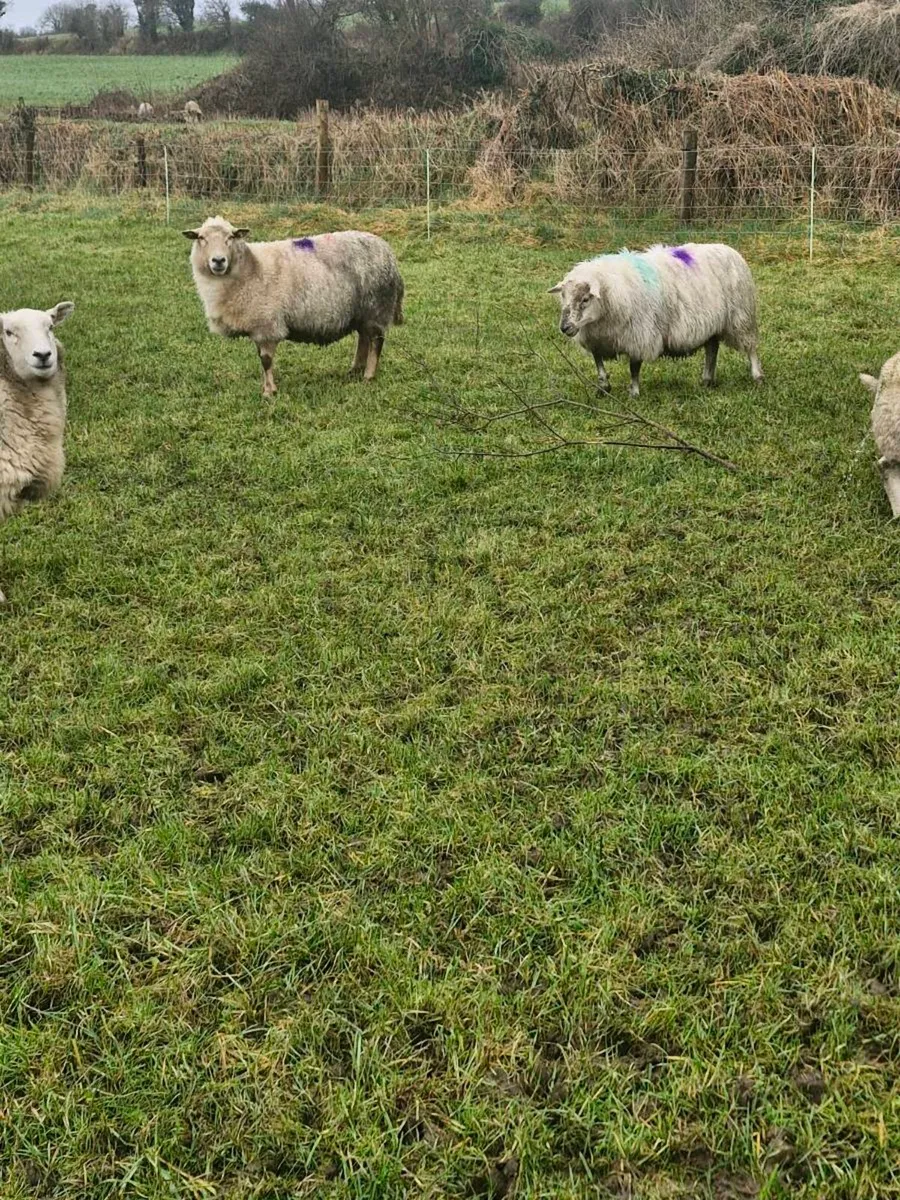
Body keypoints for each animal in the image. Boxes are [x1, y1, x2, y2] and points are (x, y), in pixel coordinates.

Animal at [183, 215, 405, 397]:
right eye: (201, 238)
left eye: (231, 237)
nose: (218, 261)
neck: (250, 268)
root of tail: (388, 253)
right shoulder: (258, 327)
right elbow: (261, 359)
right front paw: (266, 387)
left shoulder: (268, 325)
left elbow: (266, 360)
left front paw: (269, 392)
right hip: (362, 311)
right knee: (363, 338)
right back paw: (355, 370)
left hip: (376, 307)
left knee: (376, 341)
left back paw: (368, 376)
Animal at [549, 243, 763, 399]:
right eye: (563, 297)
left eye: (585, 299)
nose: (565, 328)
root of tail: (728, 248)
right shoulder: (597, 340)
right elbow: (599, 365)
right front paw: (603, 388)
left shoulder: (639, 335)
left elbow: (634, 367)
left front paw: (634, 393)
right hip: (713, 324)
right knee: (712, 349)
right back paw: (707, 380)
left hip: (741, 317)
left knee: (750, 347)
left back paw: (757, 376)